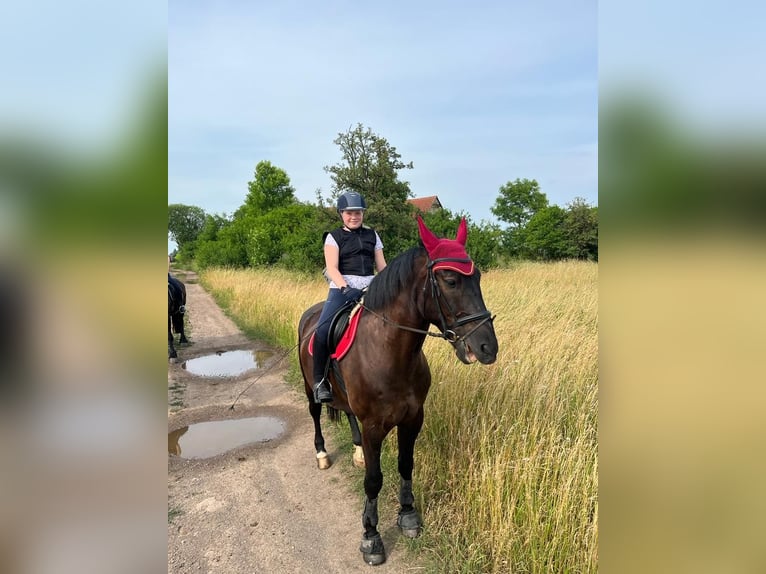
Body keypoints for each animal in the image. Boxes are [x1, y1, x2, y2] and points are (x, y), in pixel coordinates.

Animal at [296, 217, 500, 568]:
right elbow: (374, 480)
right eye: (450, 280)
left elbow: (406, 464)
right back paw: (322, 454)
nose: (487, 347)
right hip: (311, 389)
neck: (390, 352)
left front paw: (407, 516)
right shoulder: (374, 426)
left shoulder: (413, 418)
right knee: (316, 415)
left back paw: (357, 452)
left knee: (348, 415)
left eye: (477, 277)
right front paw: (371, 537)